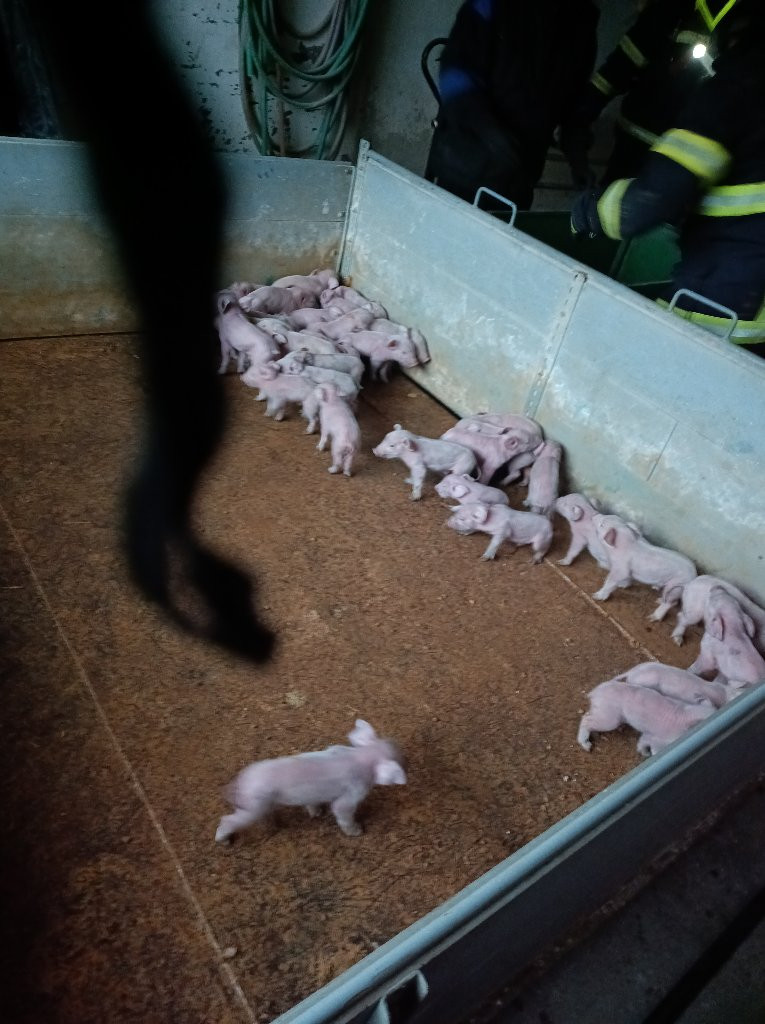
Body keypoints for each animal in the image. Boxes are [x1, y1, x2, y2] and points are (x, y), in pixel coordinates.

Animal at [215, 719, 406, 842]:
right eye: (395, 753)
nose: (396, 743)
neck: (360, 757)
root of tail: (242, 781)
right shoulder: (352, 794)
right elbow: (342, 812)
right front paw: (357, 832)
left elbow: (312, 803)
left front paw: (316, 813)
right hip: (252, 807)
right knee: (228, 820)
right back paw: (224, 840)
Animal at [577, 680, 715, 756]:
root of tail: (595, 693)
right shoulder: (660, 740)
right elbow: (655, 750)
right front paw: (649, 755)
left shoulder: (649, 734)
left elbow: (642, 741)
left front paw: (643, 752)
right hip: (610, 718)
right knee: (586, 720)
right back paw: (586, 745)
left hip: (602, 711)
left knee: (587, 715)